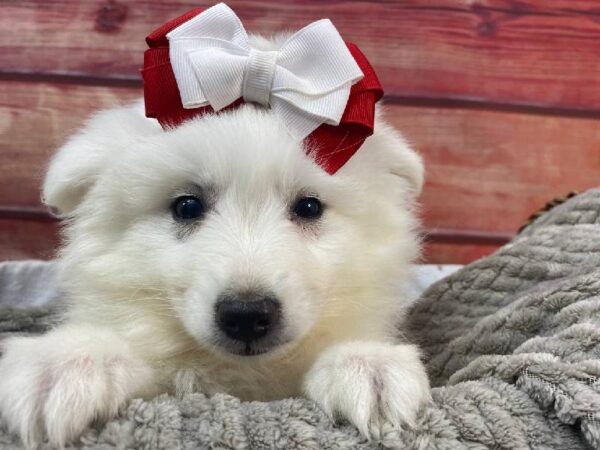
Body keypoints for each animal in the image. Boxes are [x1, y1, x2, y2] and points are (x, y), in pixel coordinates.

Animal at [1, 51, 432, 448]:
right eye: (187, 206)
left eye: (309, 207)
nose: (246, 315)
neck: (237, 375)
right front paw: (67, 364)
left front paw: (368, 364)